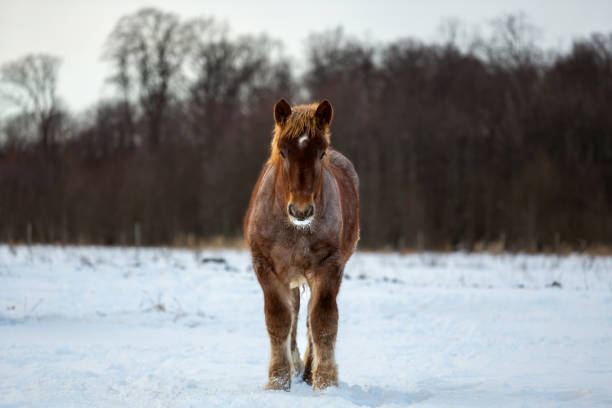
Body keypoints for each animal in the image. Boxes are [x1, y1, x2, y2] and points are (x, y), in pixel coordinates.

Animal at [243, 97, 358, 390]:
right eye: (283, 153)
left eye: (321, 154)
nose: (301, 210)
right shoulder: (266, 268)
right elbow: (279, 320)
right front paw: (278, 381)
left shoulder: (329, 268)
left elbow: (322, 322)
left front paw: (325, 382)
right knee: (294, 314)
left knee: (307, 318)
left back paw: (307, 373)